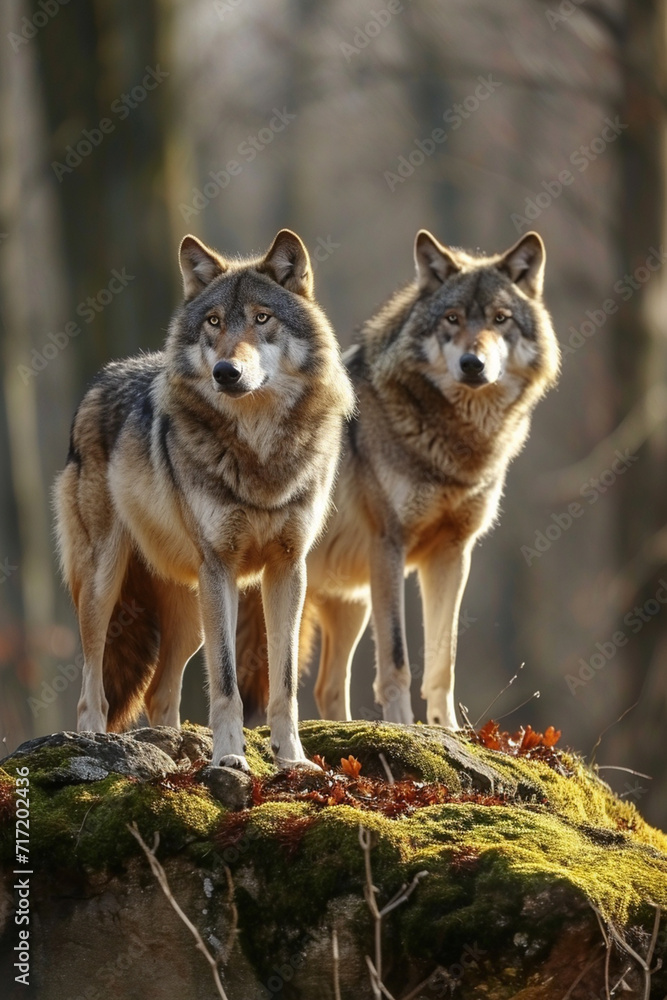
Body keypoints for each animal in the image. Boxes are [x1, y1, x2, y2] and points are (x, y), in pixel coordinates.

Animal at [54, 229, 354, 771]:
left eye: (262, 318)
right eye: (214, 321)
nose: (226, 372)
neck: (259, 450)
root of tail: (98, 381)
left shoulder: (288, 569)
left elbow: (284, 685)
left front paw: (292, 760)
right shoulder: (221, 566)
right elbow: (228, 684)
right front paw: (229, 757)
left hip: (192, 610)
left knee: (159, 691)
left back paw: (171, 747)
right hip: (106, 585)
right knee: (93, 687)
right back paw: (93, 744)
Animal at [238, 230, 560, 730]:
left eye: (500, 319)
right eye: (452, 318)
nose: (473, 363)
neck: (453, 446)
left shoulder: (452, 553)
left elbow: (443, 661)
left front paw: (445, 730)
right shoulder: (389, 545)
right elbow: (397, 659)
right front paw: (405, 726)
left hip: (348, 599)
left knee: (327, 687)